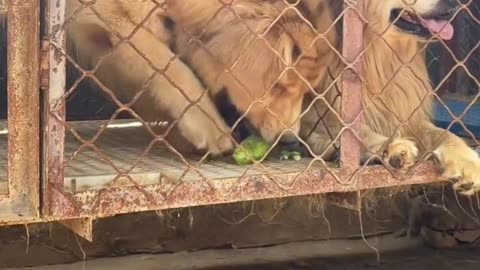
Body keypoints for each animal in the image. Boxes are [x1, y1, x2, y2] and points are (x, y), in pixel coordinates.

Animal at [304, 0, 480, 195]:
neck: (382, 57)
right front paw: (392, 148)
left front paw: (467, 160)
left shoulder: (409, 117)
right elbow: (356, 133)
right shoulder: (317, 119)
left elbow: (442, 133)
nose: (458, 4)